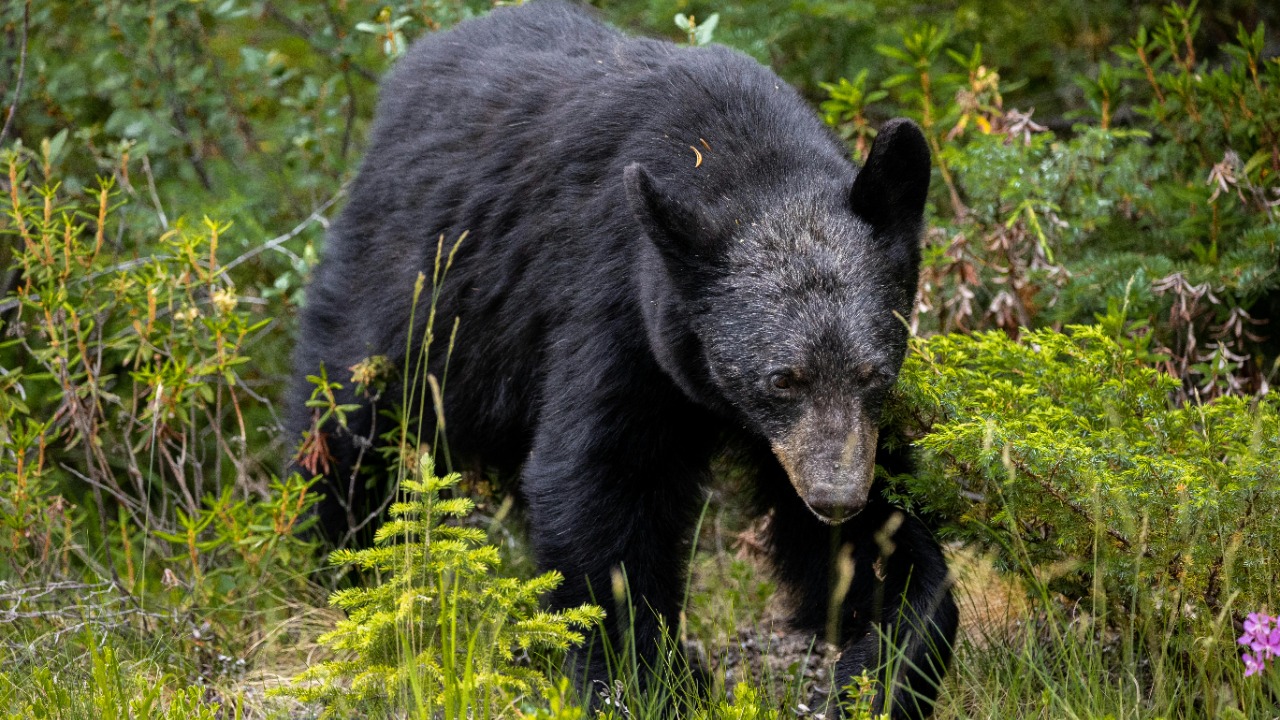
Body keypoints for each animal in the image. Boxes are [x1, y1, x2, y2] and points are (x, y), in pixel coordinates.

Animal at [287, 2, 957, 717]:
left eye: (873, 373)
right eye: (782, 379)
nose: (836, 497)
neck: (743, 157)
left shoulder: (829, 432)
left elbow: (878, 538)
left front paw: (879, 664)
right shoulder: (616, 306)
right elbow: (602, 481)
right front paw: (643, 678)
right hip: (413, 289)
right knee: (346, 419)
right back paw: (341, 560)